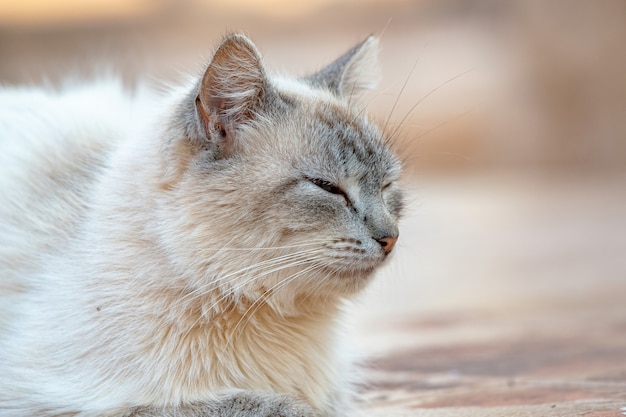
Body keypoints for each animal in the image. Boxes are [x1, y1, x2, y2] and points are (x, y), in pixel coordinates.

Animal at [0, 33, 402, 416]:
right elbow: (267, 405)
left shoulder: (334, 397)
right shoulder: (66, 402)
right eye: (327, 187)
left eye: (387, 187)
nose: (391, 238)